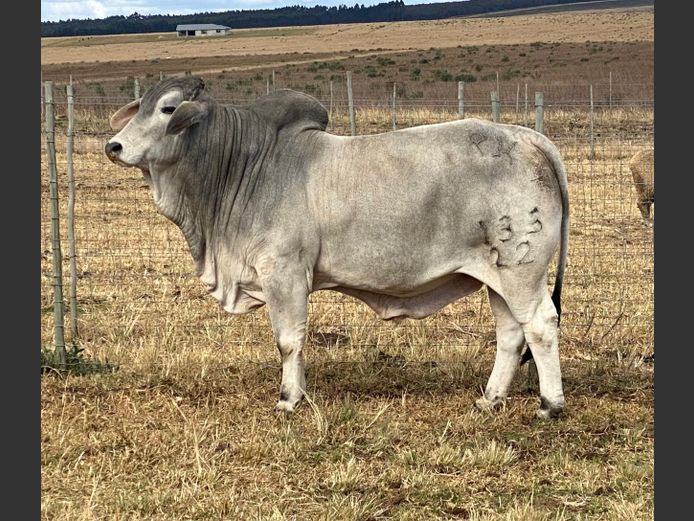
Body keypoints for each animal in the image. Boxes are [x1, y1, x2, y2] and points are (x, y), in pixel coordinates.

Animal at [105, 77, 569, 419]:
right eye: (141, 106)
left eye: (167, 109)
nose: (114, 146)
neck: (246, 165)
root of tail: (529, 138)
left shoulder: (284, 272)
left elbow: (288, 340)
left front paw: (288, 399)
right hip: (498, 276)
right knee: (511, 334)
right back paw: (489, 399)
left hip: (522, 272)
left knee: (541, 325)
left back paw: (549, 405)